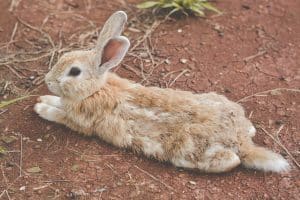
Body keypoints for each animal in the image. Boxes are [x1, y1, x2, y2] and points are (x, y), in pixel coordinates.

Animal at [34, 11, 290, 173]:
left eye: (74, 72)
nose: (48, 80)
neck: (95, 89)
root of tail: (242, 142)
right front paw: (44, 98)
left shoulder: (80, 121)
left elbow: (59, 115)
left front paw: (41, 107)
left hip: (191, 151)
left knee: (231, 161)